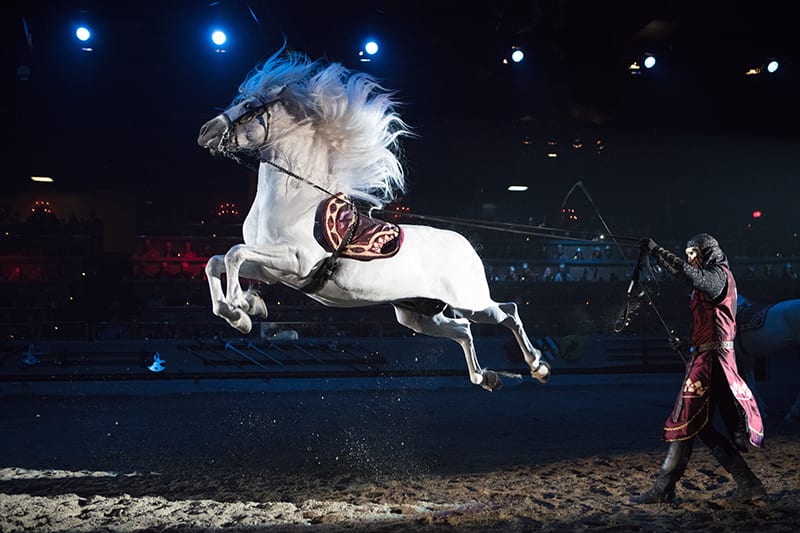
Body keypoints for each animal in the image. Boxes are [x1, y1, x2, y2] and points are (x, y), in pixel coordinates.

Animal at [196, 48, 551, 391]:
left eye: (248, 105)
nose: (206, 131)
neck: (296, 201)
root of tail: (466, 245)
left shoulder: (295, 260)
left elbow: (234, 254)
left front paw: (241, 306)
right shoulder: (273, 270)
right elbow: (216, 262)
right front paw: (244, 311)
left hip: (470, 300)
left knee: (509, 312)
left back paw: (538, 365)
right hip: (420, 315)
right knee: (463, 330)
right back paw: (485, 378)